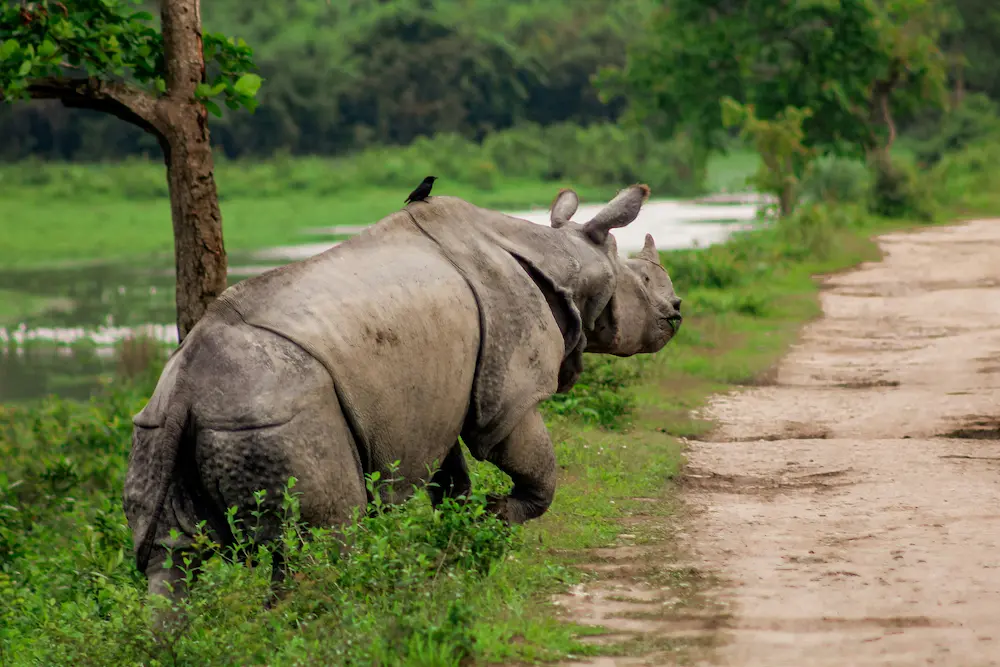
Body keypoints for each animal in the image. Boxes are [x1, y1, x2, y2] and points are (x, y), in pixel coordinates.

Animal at [123, 184, 683, 605]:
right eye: (643, 279)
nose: (677, 312)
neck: (568, 260)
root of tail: (186, 388)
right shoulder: (506, 393)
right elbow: (533, 465)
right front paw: (498, 517)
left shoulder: (440, 396)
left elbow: (450, 477)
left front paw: (464, 540)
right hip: (277, 417)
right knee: (323, 547)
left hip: (164, 426)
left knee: (171, 563)